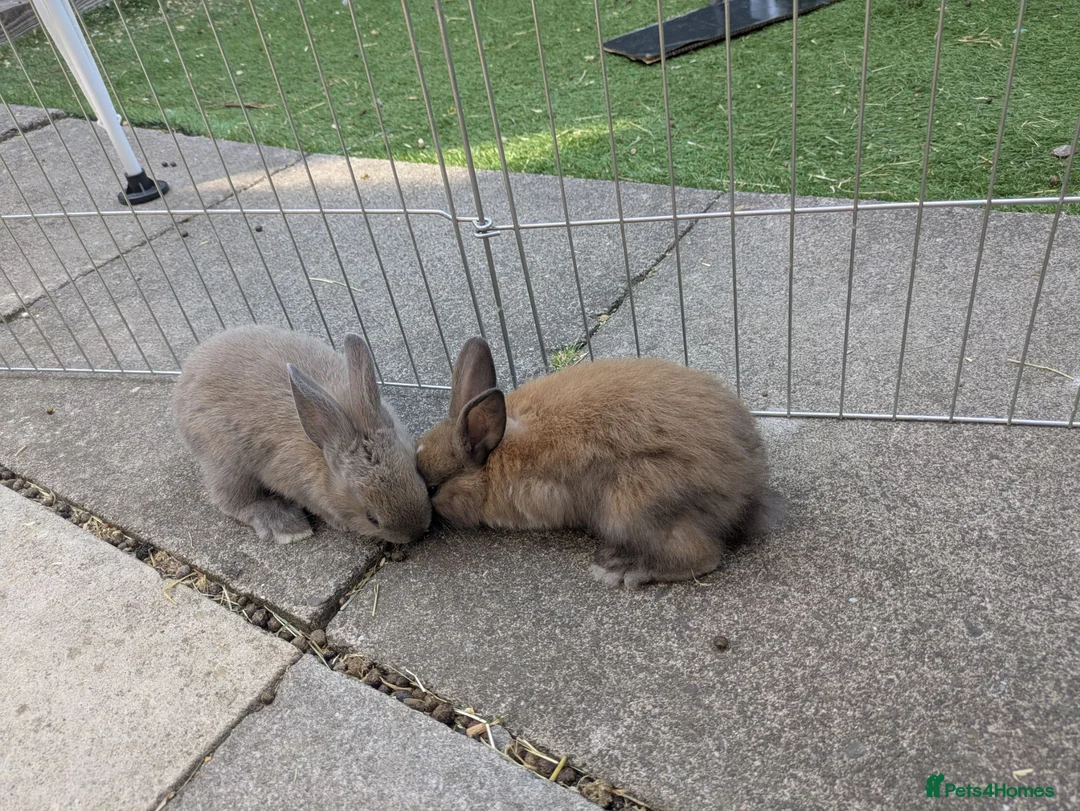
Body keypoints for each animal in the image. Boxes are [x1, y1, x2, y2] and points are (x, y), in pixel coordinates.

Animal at [173, 325, 431, 546]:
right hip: (224, 462)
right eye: (372, 518)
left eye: (420, 478)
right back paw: (287, 526)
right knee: (234, 500)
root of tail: (188, 369)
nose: (415, 533)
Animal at [416, 337, 780, 588]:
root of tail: (746, 486)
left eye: (432, 488)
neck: (492, 458)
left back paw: (621, 569)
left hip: (631, 506)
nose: (425, 524)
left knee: (701, 555)